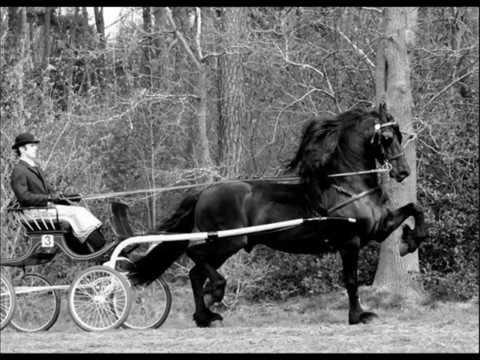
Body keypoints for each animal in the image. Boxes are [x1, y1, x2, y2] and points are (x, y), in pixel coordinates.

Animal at [127, 102, 428, 328]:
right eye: (386, 137)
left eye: (400, 135)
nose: (403, 171)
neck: (347, 185)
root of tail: (204, 191)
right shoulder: (350, 242)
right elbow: (352, 281)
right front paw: (358, 316)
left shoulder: (378, 229)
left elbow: (414, 209)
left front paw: (409, 241)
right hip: (227, 241)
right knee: (195, 257)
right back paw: (216, 293)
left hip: (225, 246)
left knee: (195, 273)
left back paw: (205, 316)